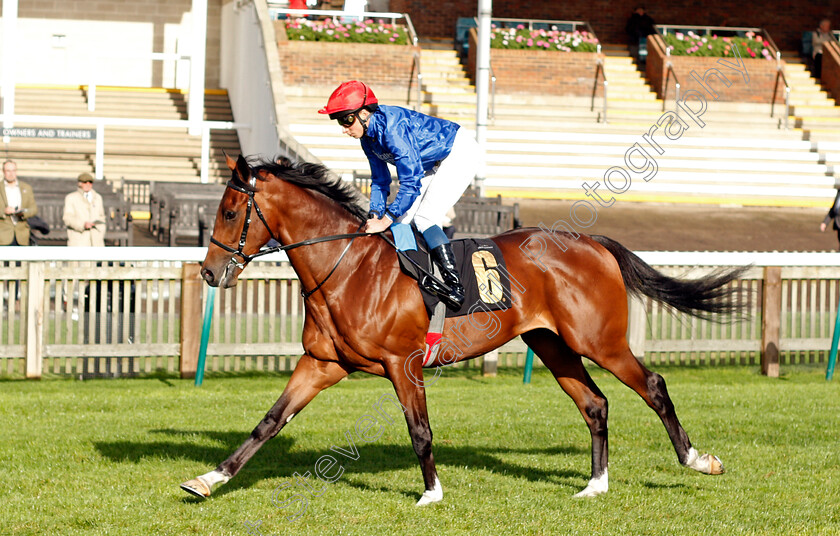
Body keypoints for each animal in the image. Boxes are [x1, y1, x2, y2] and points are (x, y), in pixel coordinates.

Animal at [182, 154, 740, 502]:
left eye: (229, 211)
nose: (209, 272)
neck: (346, 268)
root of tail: (594, 242)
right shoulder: (323, 362)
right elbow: (269, 422)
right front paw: (209, 479)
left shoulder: (402, 364)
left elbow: (420, 431)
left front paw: (431, 492)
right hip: (550, 343)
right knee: (594, 403)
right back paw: (595, 485)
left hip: (598, 340)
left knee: (653, 385)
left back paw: (697, 460)